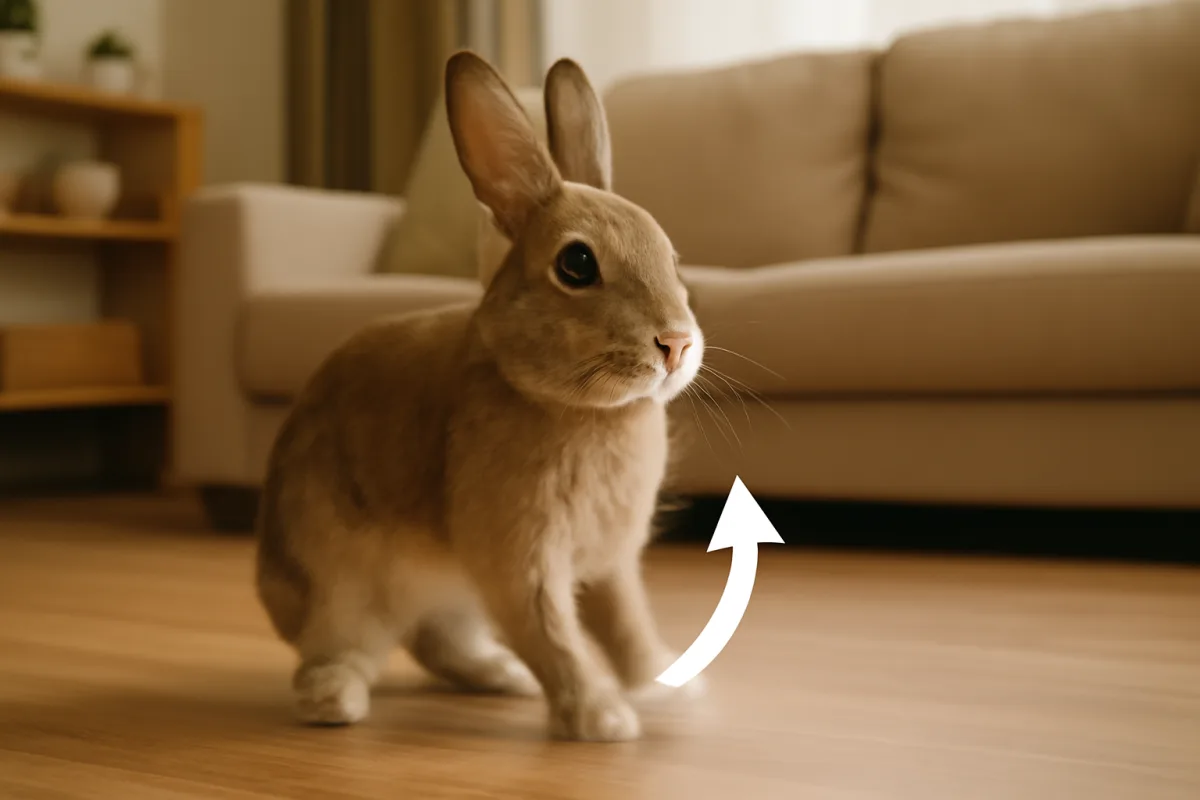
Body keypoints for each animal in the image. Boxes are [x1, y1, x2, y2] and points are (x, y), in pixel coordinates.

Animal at [254, 50, 705, 743]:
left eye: (672, 257)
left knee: (436, 641)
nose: (676, 343)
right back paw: (335, 701)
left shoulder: (611, 564)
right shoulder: (520, 564)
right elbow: (554, 636)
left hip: (451, 597)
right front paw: (601, 718)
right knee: (341, 650)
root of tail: (276, 592)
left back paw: (503, 677)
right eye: (577, 264)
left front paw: (665, 689)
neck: (562, 401)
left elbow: (627, 626)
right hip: (346, 588)